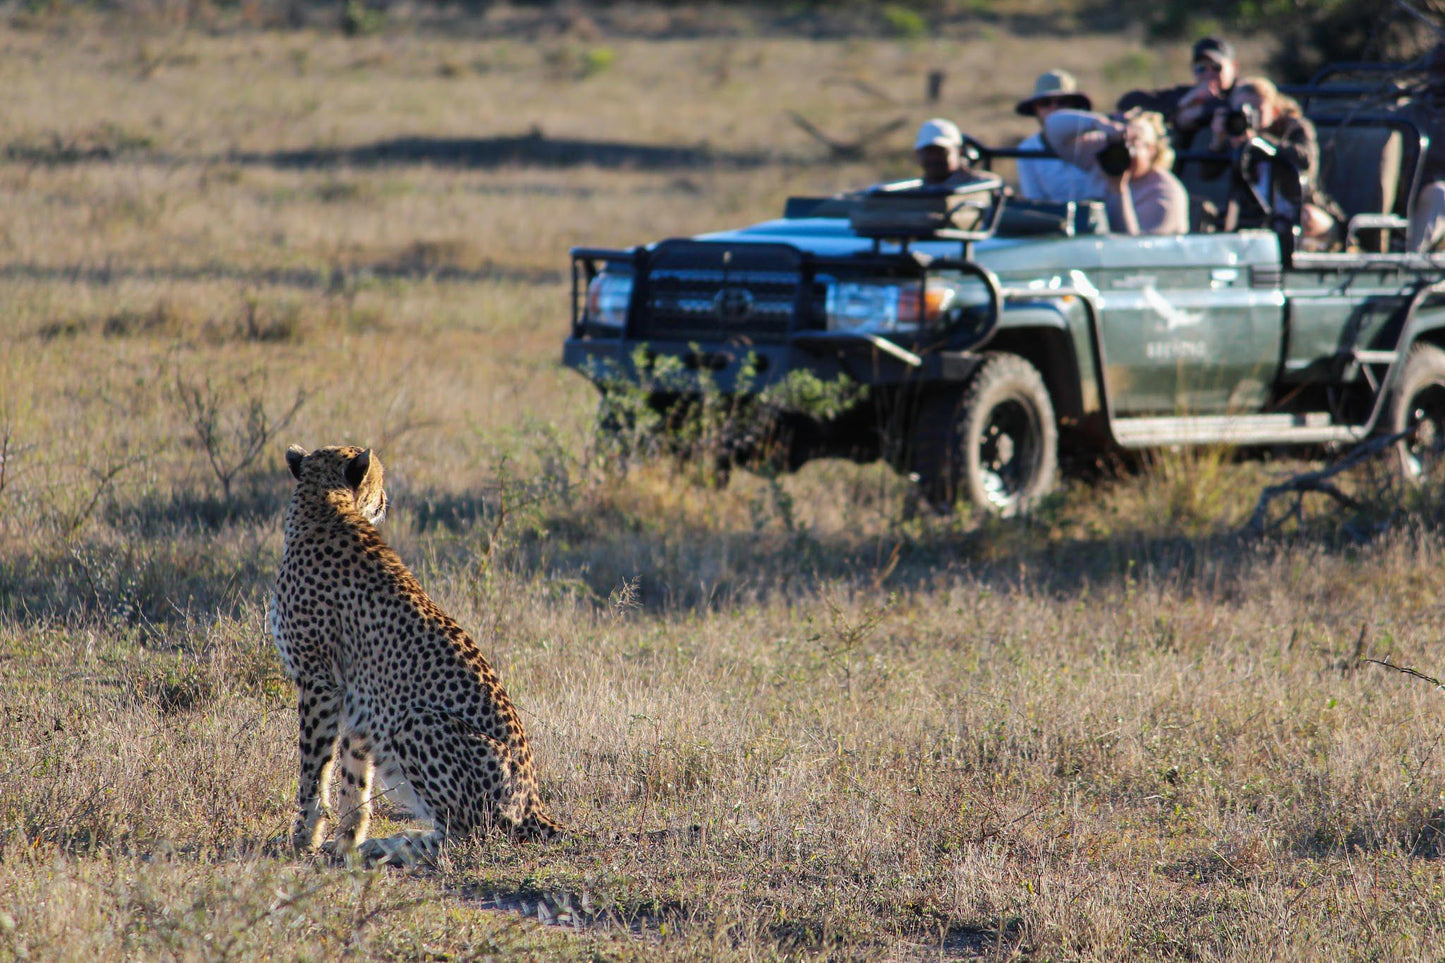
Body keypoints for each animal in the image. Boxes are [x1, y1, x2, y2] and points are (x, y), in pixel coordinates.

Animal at [268, 442, 560, 861]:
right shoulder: (359, 700)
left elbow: (313, 770)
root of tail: (533, 805)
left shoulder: (319, 682)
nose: (386, 500)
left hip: (416, 721)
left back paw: (397, 845)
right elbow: (353, 778)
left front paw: (304, 838)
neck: (326, 505)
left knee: (469, 834)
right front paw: (344, 842)